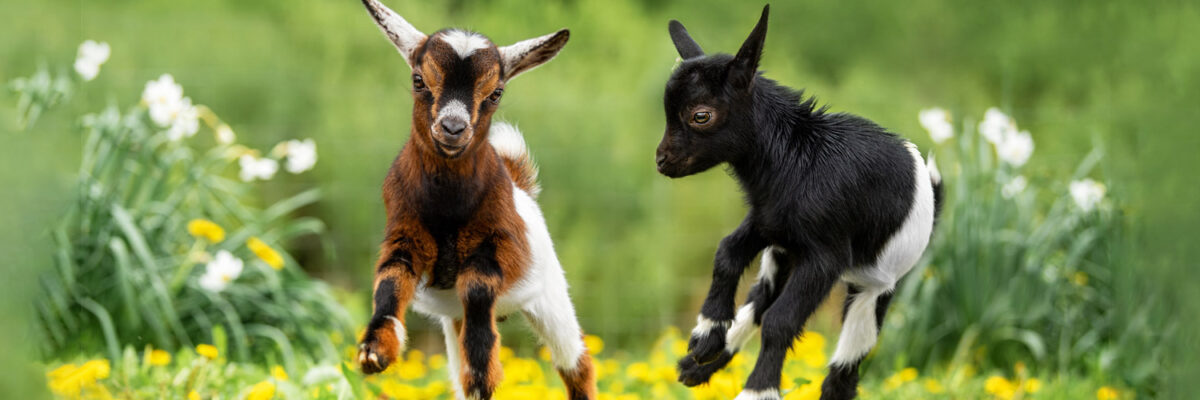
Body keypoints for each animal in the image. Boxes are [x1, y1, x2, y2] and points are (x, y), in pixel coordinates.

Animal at [355, 1, 600, 396]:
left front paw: (485, 370)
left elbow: (478, 285)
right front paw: (375, 352)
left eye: (496, 92)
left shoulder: (498, 242)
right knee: (458, 377)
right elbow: (390, 279)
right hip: (452, 319)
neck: (448, 205)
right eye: (418, 80)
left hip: (552, 297)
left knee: (576, 362)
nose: (453, 128)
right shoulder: (405, 232)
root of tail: (520, 185)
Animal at [662, 4, 940, 396]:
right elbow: (726, 253)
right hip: (782, 257)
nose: (662, 161)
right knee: (759, 302)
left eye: (700, 115)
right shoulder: (766, 222)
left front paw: (757, 391)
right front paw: (705, 336)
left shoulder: (826, 256)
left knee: (844, 369)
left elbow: (781, 321)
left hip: (874, 286)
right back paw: (697, 367)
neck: (797, 157)